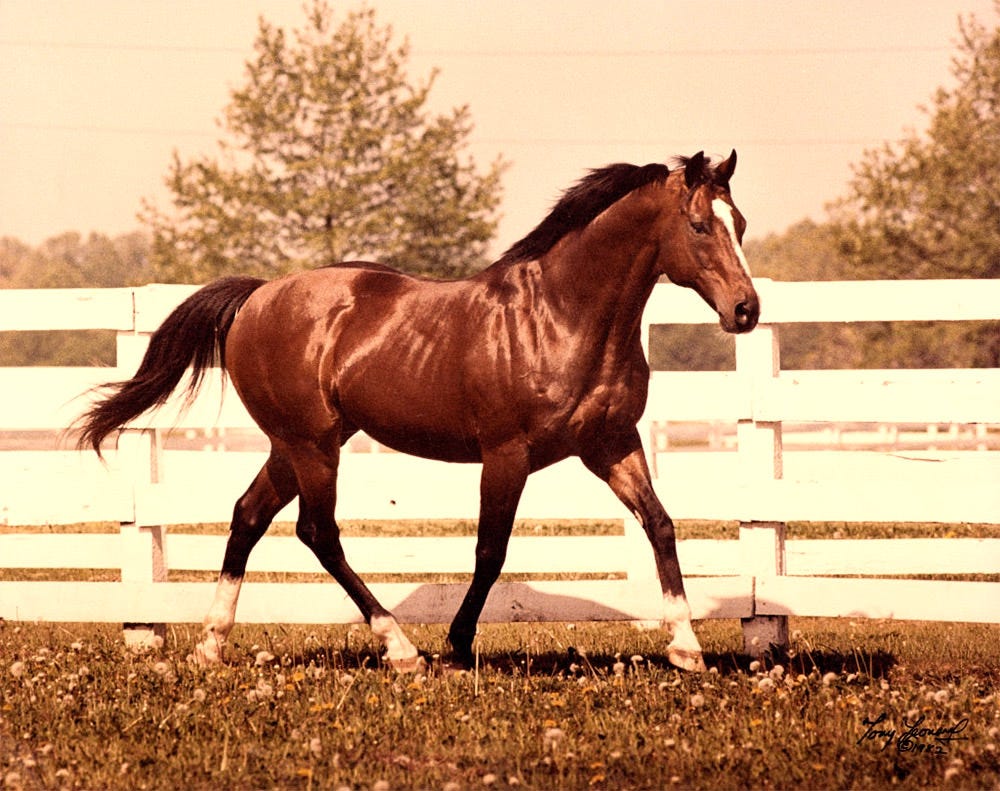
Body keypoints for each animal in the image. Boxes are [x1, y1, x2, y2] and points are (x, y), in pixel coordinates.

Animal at [78, 150, 756, 676]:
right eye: (700, 225)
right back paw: (401, 649)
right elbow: (490, 551)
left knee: (248, 517)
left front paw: (687, 648)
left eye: (741, 224)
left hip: (295, 446)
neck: (563, 314)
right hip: (312, 446)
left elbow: (660, 525)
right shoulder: (507, 454)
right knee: (318, 533)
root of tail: (258, 295)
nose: (746, 310)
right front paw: (457, 646)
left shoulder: (611, 443)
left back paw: (212, 645)